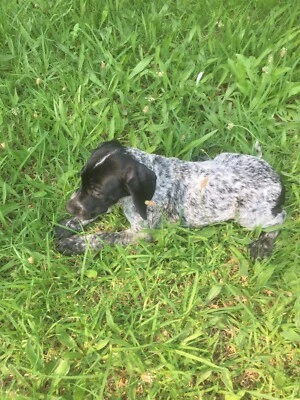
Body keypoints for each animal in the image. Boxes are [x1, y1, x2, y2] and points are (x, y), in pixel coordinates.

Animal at [55, 140, 288, 260]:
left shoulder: (140, 234)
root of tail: (275, 175)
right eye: (82, 181)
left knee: (280, 218)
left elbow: (103, 236)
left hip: (249, 216)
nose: (68, 207)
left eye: (97, 192)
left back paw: (264, 245)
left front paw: (73, 243)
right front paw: (69, 224)